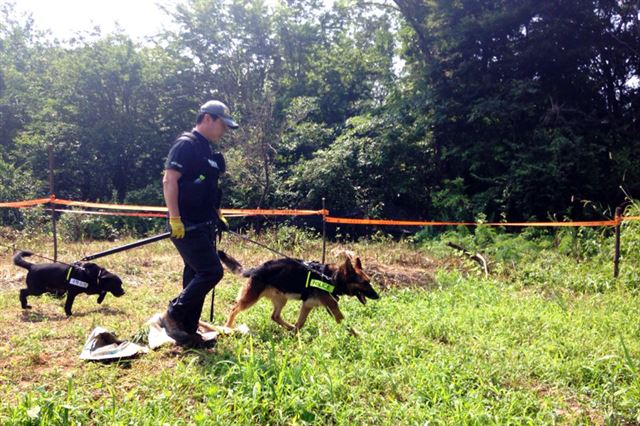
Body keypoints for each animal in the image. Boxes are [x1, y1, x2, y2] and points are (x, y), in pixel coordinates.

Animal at [220, 253, 380, 332]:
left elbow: (300, 323)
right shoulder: (332, 307)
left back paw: (289, 327)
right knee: (234, 309)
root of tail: (256, 269)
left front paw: (294, 334)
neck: (332, 277)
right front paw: (358, 336)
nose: (378, 296)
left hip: (282, 299)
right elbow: (346, 324)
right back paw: (227, 326)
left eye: (369, 281)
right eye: (365, 283)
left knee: (275, 316)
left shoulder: (308, 305)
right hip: (250, 299)